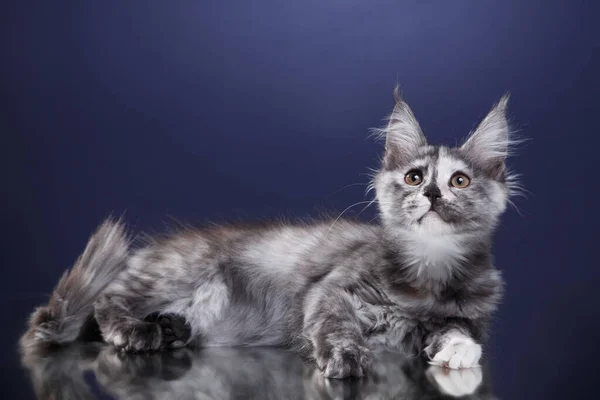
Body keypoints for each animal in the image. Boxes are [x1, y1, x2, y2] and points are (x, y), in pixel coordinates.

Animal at [18, 87, 516, 378]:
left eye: (459, 181)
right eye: (414, 178)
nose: (431, 193)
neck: (429, 272)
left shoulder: (463, 315)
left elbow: (456, 331)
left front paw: (459, 353)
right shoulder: (329, 291)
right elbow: (337, 326)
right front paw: (346, 358)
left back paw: (172, 327)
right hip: (182, 269)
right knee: (106, 301)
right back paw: (137, 330)